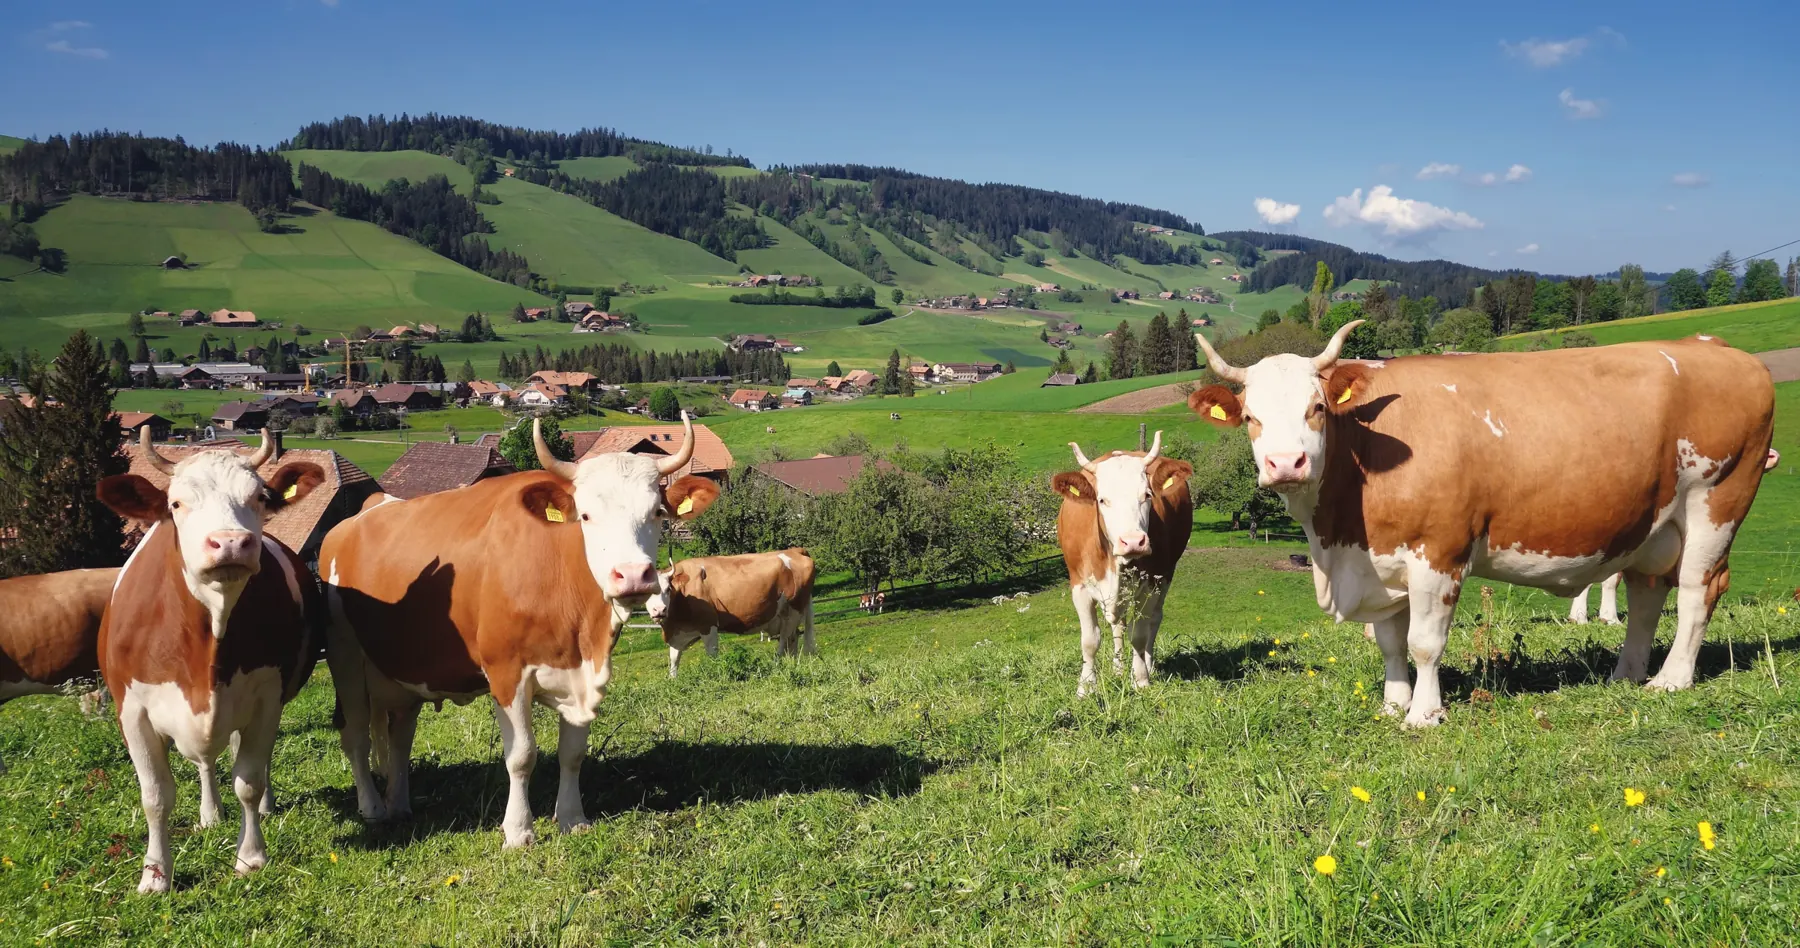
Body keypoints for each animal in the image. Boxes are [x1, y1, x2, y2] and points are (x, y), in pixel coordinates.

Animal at [94, 429, 324, 892]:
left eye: (259, 497)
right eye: (176, 504)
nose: (231, 542)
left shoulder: (266, 698)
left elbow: (248, 781)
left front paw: (251, 857)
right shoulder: (132, 710)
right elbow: (155, 797)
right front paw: (155, 875)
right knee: (204, 764)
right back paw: (210, 813)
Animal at [320, 414, 719, 848]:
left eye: (658, 513)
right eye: (586, 516)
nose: (632, 575)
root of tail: (361, 514)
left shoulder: (583, 671)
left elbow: (572, 753)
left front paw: (573, 817)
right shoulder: (505, 671)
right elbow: (522, 755)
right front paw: (518, 830)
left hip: (404, 670)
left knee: (399, 735)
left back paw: (399, 804)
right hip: (345, 657)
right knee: (356, 735)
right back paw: (373, 808)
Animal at [645, 549, 817, 677]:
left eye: (668, 589)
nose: (660, 610)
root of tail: (795, 550)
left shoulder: (709, 625)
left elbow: (712, 654)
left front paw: (713, 674)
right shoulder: (678, 632)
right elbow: (674, 659)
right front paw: (673, 680)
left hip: (793, 610)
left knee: (784, 641)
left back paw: (776, 664)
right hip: (787, 615)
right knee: (792, 639)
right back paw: (792, 665)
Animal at [1050, 432, 1194, 696]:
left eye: (1147, 495)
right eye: (1102, 499)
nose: (1133, 541)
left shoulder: (1150, 585)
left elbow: (1139, 635)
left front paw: (1141, 679)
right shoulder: (1079, 585)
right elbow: (1090, 640)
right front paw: (1086, 687)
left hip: (1166, 575)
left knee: (1154, 620)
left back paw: (1149, 665)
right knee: (1118, 624)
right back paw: (1118, 669)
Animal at [1190, 323, 1775, 726]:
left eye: (1316, 408)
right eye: (1250, 417)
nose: (1285, 464)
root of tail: (1715, 345)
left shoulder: (1438, 549)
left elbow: (1425, 642)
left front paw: (1424, 715)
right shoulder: (1381, 559)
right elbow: (1390, 642)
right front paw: (1393, 704)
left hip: (1716, 501)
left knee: (1698, 590)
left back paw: (1671, 680)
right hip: (1652, 524)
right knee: (1648, 593)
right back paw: (1626, 675)